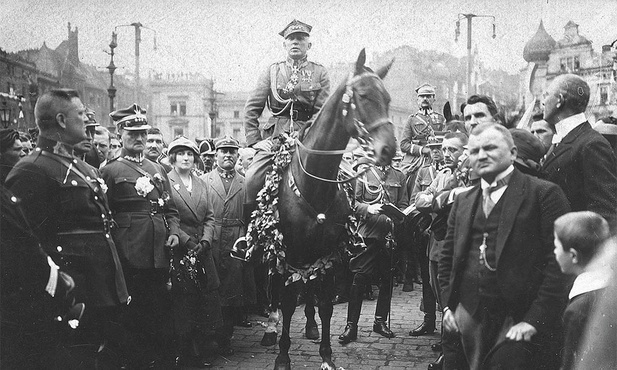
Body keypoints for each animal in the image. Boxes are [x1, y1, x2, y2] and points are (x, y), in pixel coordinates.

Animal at [258, 49, 394, 370]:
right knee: (276, 290)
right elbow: (287, 301)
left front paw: (327, 354)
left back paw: (310, 327)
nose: (389, 149)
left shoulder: (328, 253)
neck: (314, 184)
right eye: (363, 95)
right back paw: (271, 329)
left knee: (308, 289)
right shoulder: (290, 251)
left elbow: (325, 306)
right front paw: (283, 356)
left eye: (388, 98)